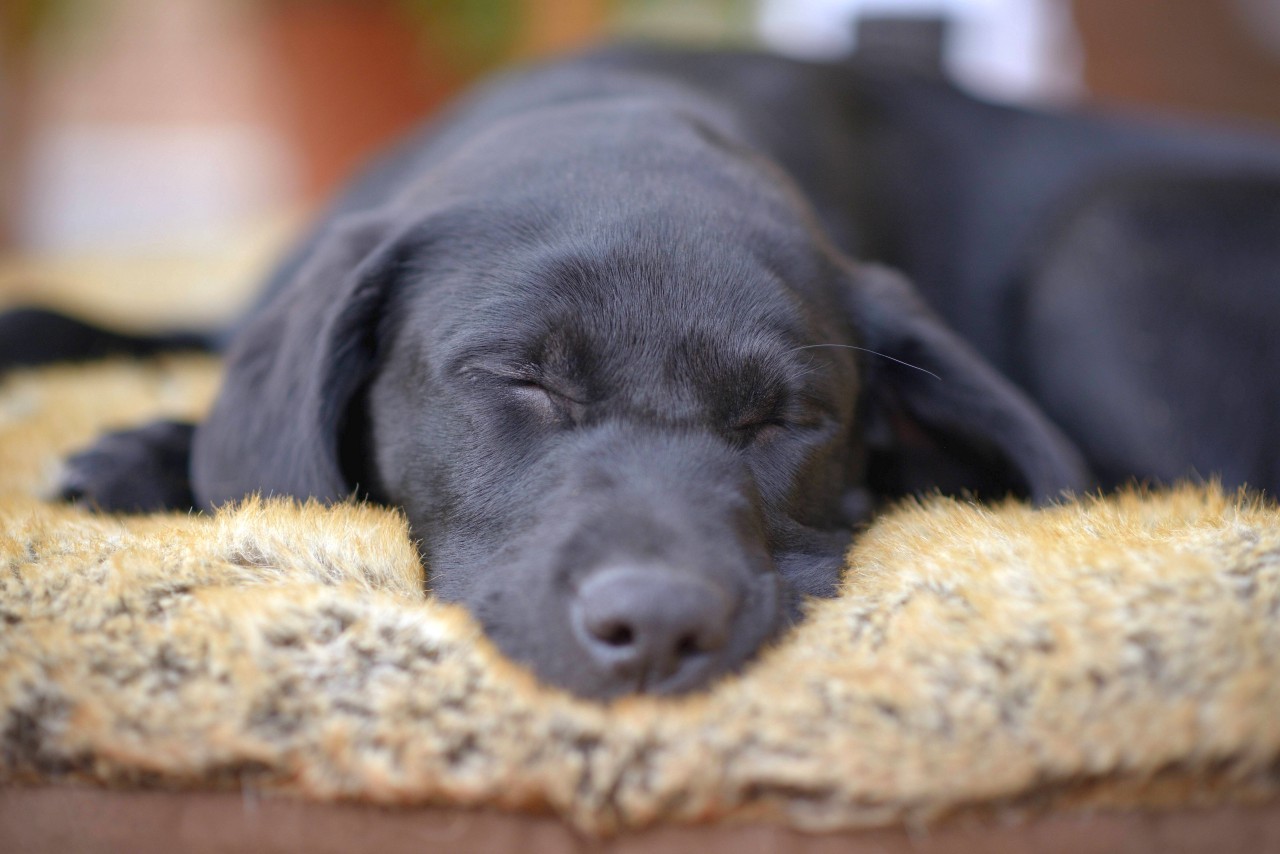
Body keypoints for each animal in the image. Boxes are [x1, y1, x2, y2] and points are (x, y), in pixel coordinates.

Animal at [2, 46, 1280, 696]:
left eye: (783, 418)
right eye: (524, 379)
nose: (659, 628)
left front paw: (148, 451)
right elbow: (128, 318)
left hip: (1101, 242)